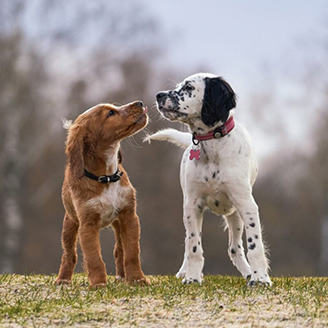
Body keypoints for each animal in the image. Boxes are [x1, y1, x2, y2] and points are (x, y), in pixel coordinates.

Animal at [56, 100, 149, 288]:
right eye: (110, 113)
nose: (139, 103)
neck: (106, 178)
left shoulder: (129, 216)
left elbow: (132, 253)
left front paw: (137, 279)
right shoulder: (87, 225)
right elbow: (94, 258)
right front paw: (98, 283)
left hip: (118, 224)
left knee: (119, 250)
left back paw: (122, 277)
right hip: (70, 223)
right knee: (69, 254)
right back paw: (63, 279)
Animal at [146, 72, 272, 284]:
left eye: (188, 87)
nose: (159, 95)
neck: (212, 144)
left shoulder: (246, 204)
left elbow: (255, 245)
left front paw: (260, 278)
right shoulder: (192, 205)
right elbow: (194, 246)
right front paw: (192, 278)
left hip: (234, 214)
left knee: (235, 248)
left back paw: (248, 273)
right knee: (190, 242)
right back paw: (185, 271)